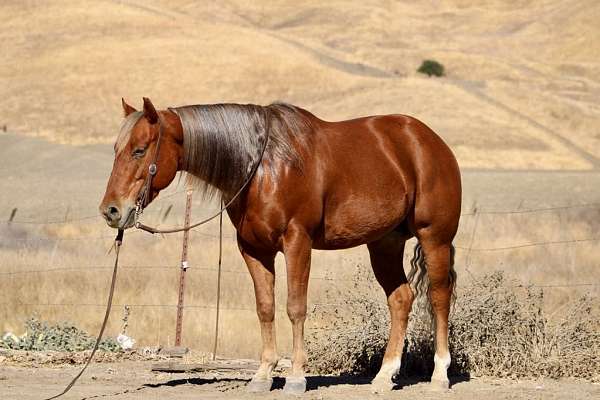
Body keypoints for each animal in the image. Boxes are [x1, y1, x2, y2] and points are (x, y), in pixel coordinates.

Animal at [101, 97, 462, 394]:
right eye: (116, 149)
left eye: (139, 149)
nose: (111, 210)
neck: (263, 168)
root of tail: (430, 142)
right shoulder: (254, 250)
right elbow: (265, 308)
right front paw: (263, 375)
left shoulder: (297, 242)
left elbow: (295, 307)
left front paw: (296, 377)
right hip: (384, 244)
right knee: (401, 299)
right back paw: (385, 376)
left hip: (435, 238)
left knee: (439, 297)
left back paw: (439, 375)